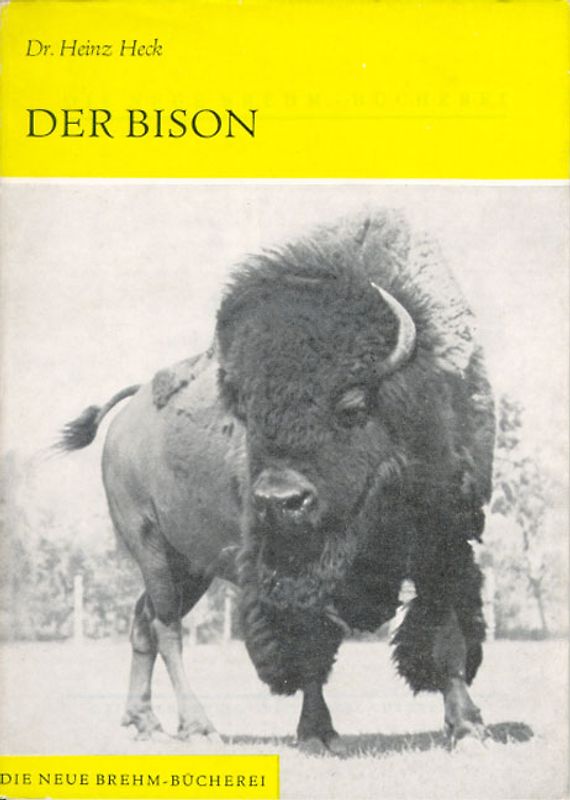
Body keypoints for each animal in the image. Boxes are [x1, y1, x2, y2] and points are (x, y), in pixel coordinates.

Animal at [58, 210, 495, 754]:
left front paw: (468, 727)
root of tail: (130, 409)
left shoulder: (446, 540)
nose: (279, 500)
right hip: (150, 545)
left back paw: (143, 722)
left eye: (351, 405)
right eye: (247, 415)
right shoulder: (286, 567)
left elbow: (446, 632)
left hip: (191, 563)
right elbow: (306, 645)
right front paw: (318, 732)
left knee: (142, 620)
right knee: (166, 626)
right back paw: (198, 726)